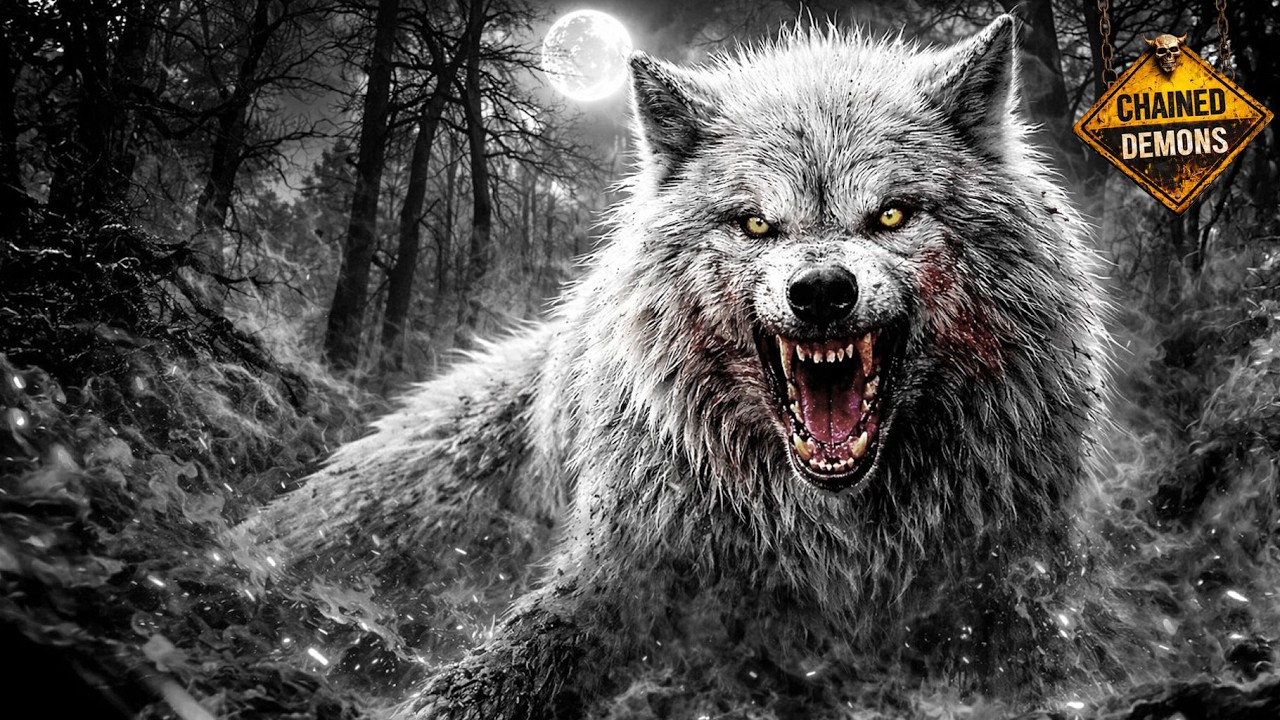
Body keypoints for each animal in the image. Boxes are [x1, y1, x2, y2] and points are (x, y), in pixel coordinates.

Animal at [253, 15, 1111, 718]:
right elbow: (490, 677)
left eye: (892, 215)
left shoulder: (1004, 598)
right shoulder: (615, 578)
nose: (821, 293)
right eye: (756, 224)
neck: (837, 548)